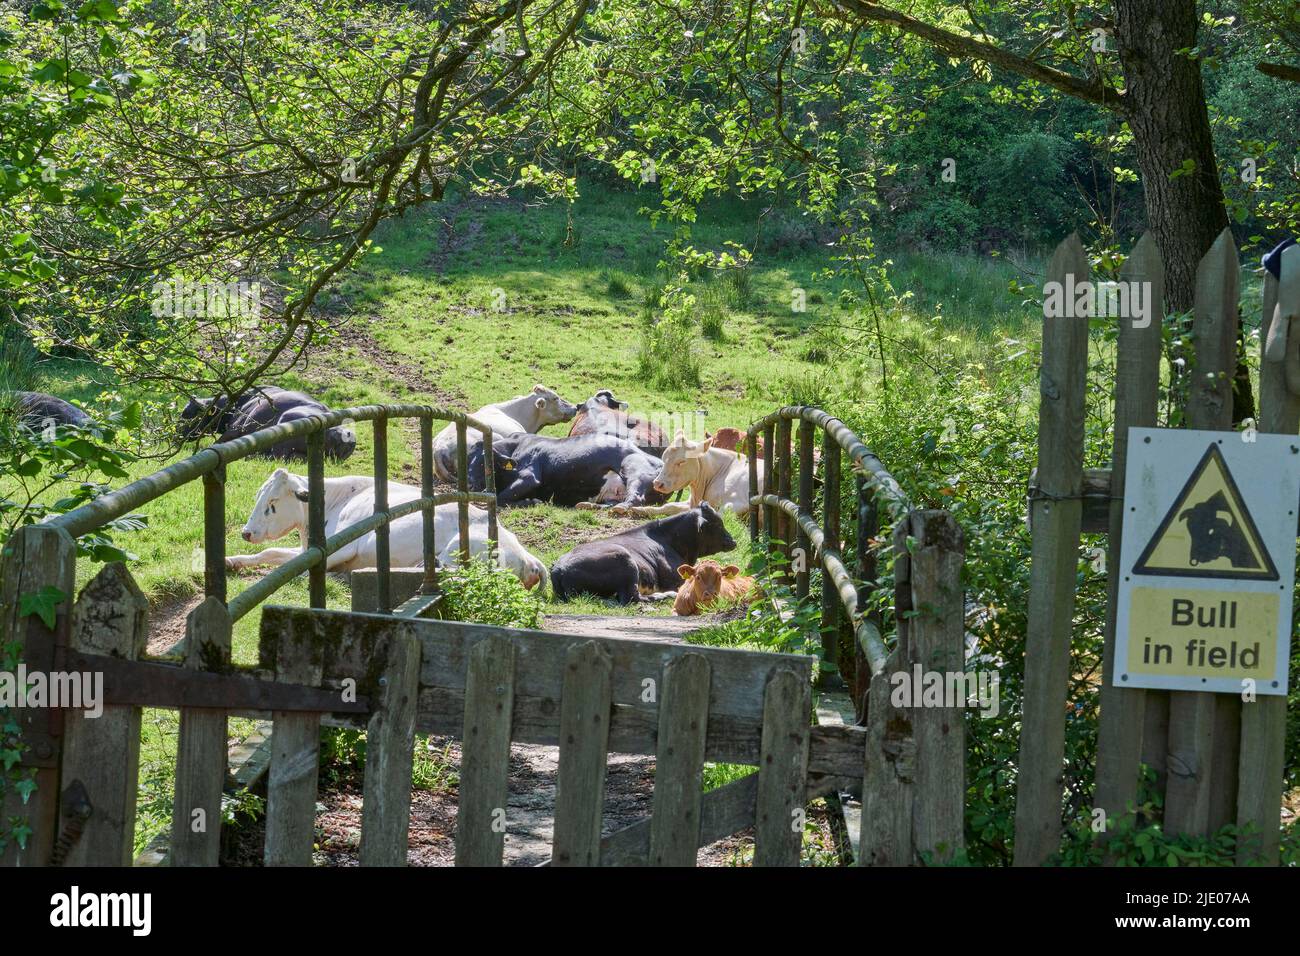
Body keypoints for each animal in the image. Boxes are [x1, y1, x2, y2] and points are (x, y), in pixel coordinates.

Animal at [225, 468, 547, 590]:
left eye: (273, 502)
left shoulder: (343, 547)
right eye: (259, 496)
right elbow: (272, 553)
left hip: (457, 552)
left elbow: (295, 568)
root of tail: (528, 557)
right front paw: (232, 561)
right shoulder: (305, 549)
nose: (246, 532)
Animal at [468, 432, 669, 508]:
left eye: (484, 462)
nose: (470, 485)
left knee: (635, 499)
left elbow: (500, 497)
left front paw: (531, 501)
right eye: (466, 458)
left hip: (633, 469)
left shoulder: (529, 476)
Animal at [550, 503, 736, 604]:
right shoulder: (675, 579)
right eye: (718, 524)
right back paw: (666, 595)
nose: (733, 541)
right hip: (625, 561)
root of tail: (558, 568)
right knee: (632, 598)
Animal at [602, 431, 764, 519]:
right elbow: (668, 506)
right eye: (664, 458)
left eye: (681, 462)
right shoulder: (690, 502)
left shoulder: (737, 503)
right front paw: (639, 510)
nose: (657, 483)